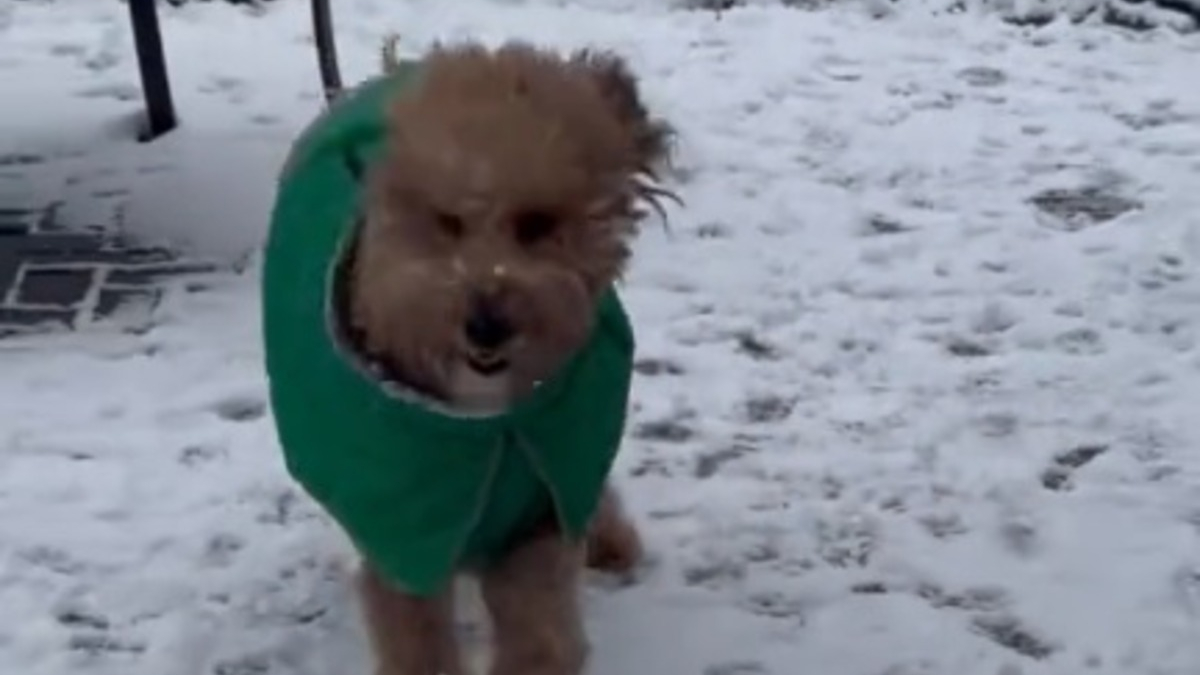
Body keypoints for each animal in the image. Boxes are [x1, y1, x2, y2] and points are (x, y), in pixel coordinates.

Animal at [262, 39, 676, 672]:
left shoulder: (541, 506)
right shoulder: (404, 532)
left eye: (538, 223)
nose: (486, 326)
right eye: (447, 221)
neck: (482, 421)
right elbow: (417, 642)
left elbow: (541, 638)